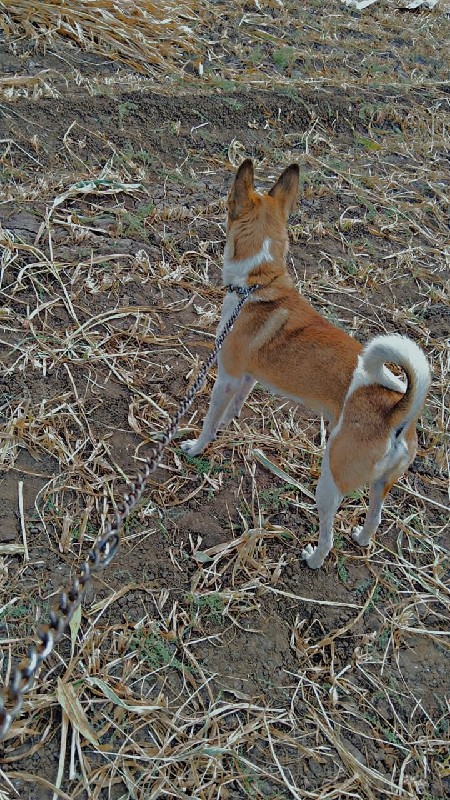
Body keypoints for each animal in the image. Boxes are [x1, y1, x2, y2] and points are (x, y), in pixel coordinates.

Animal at [181, 158, 430, 568]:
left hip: (330, 482)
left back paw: (314, 558)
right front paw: (228, 425)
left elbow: (209, 419)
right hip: (381, 485)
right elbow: (235, 407)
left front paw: (198, 444)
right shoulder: (247, 377)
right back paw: (361, 538)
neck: (260, 282)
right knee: (375, 517)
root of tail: (396, 412)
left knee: (328, 533)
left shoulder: (227, 375)